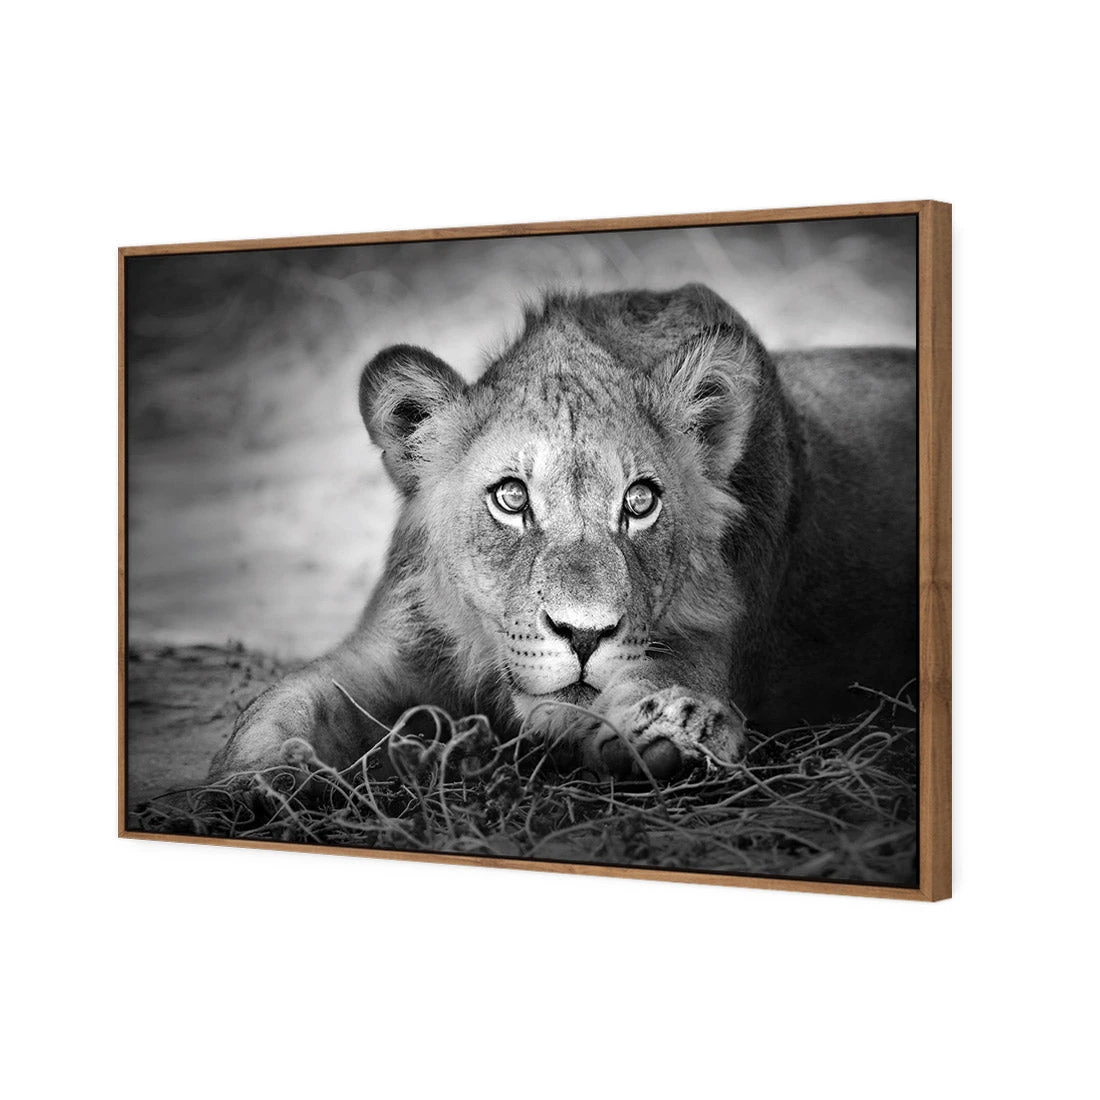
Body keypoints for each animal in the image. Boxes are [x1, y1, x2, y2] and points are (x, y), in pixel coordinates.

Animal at [210, 283, 916, 783]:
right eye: (511, 497)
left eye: (640, 502)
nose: (584, 634)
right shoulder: (391, 647)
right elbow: (280, 705)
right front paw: (249, 785)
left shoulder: (714, 645)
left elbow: (646, 687)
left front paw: (673, 731)